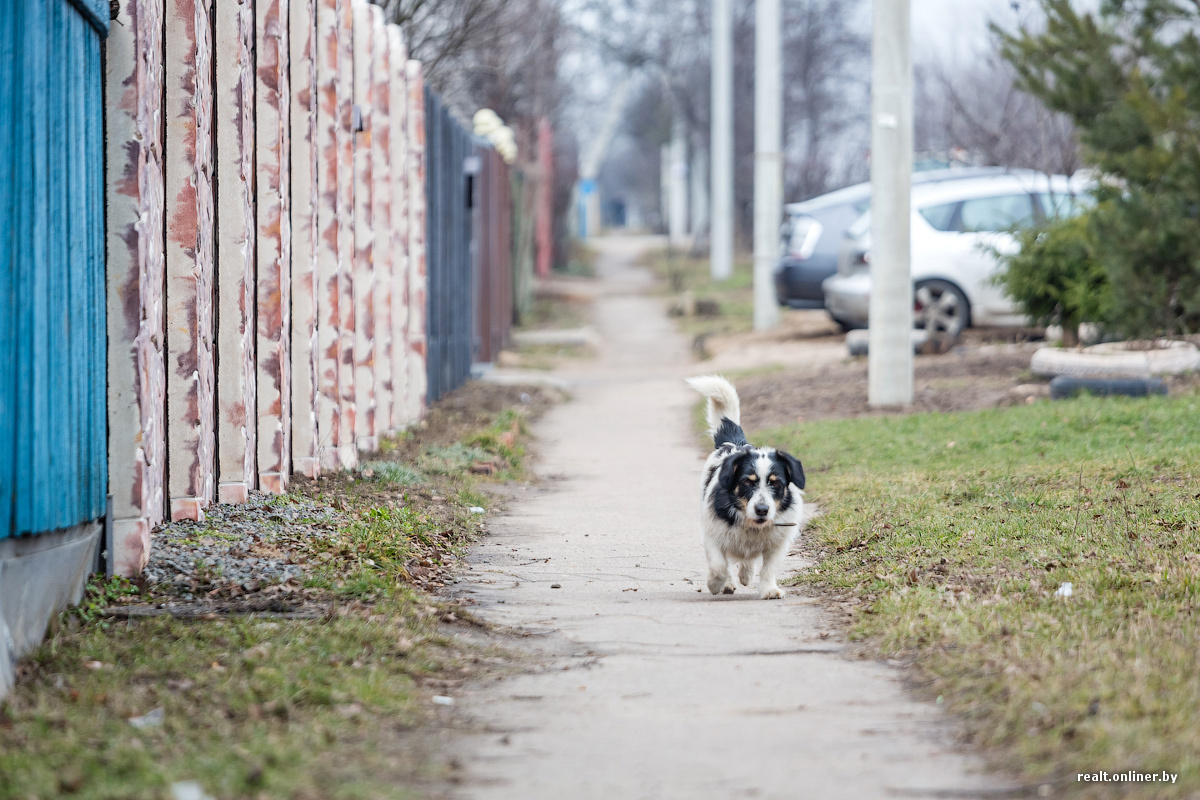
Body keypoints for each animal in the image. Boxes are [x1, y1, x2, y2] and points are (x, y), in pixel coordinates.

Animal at [686, 379, 806, 597]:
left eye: (776, 482)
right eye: (747, 482)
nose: (762, 510)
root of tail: (735, 442)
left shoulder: (778, 543)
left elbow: (768, 568)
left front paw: (769, 589)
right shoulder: (712, 534)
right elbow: (719, 565)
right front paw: (716, 583)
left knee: (748, 559)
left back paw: (746, 574)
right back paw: (728, 582)